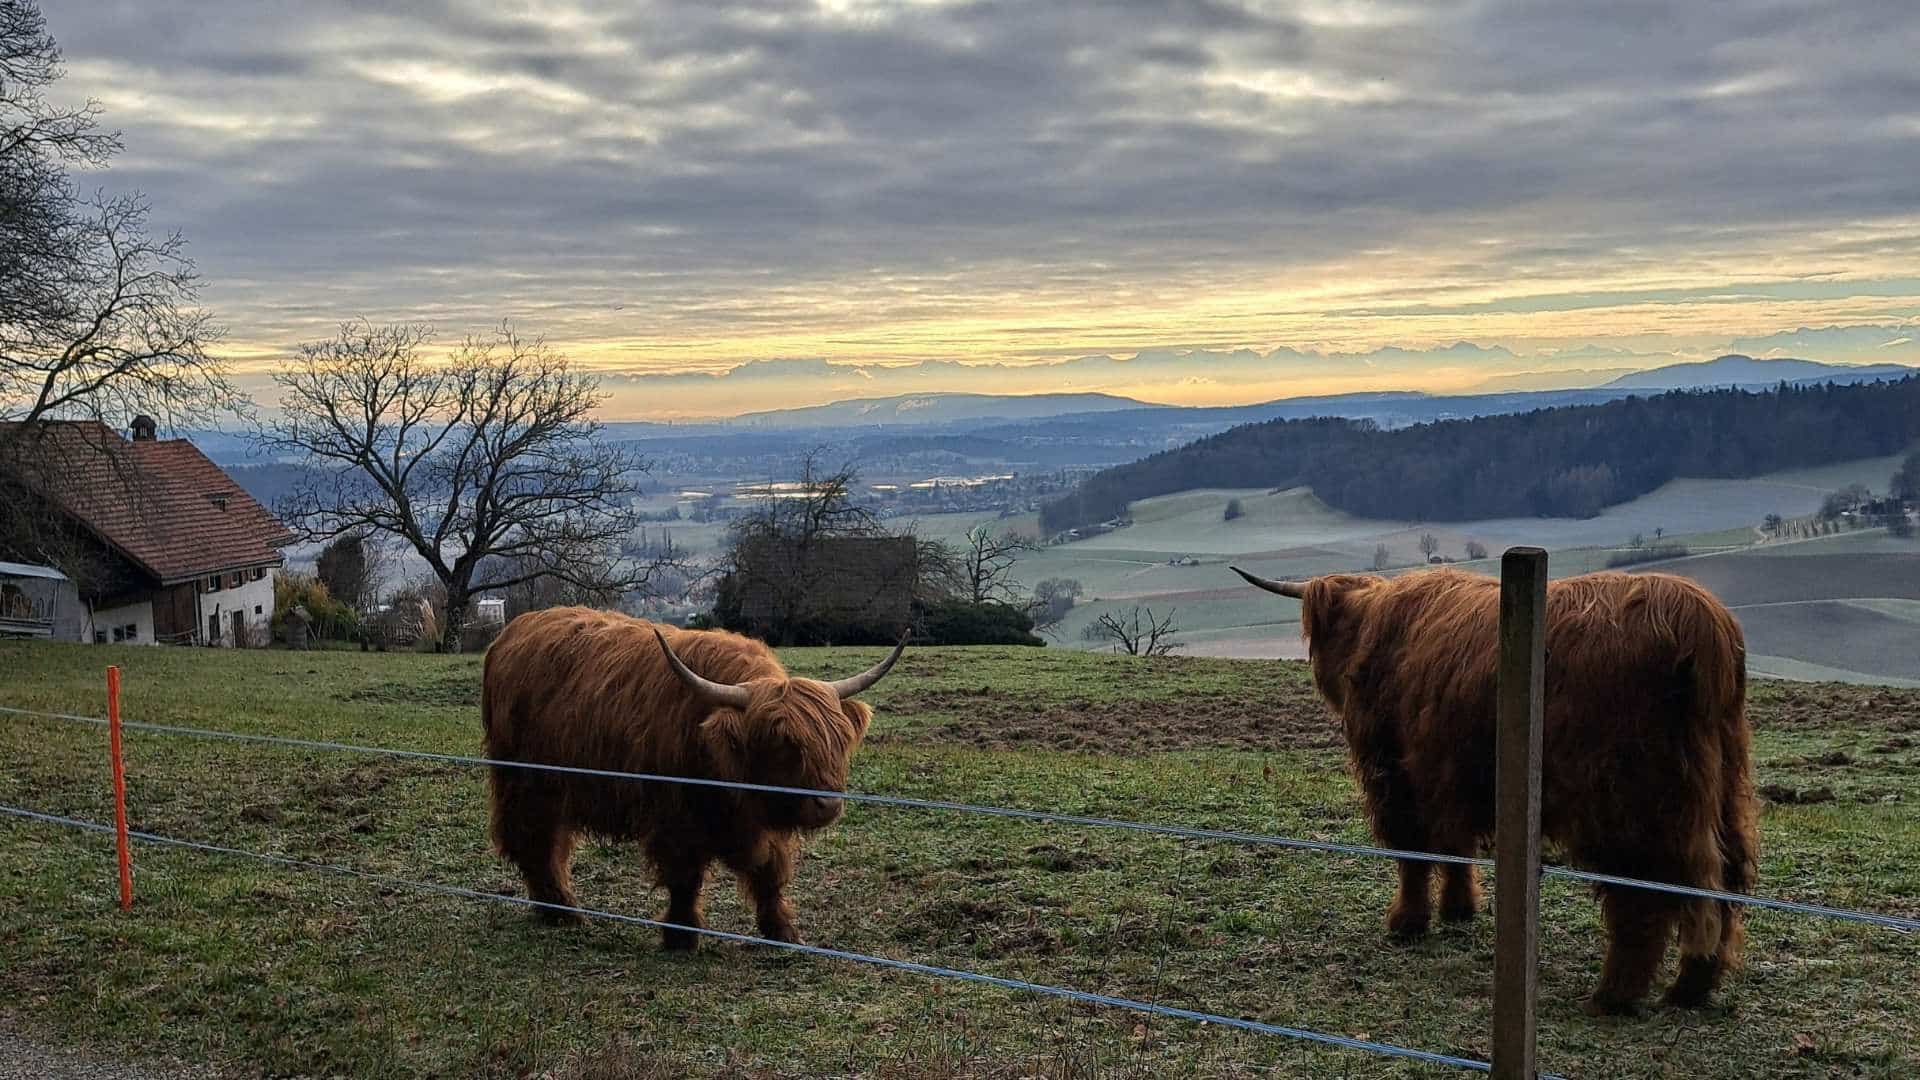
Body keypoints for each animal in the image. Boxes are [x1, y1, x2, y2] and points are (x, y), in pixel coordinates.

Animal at [476, 611, 902, 945]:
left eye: (838, 739)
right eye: (782, 741)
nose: (826, 804)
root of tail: (514, 630)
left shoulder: (760, 824)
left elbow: (769, 873)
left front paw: (782, 931)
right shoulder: (675, 819)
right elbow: (685, 876)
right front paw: (681, 935)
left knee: (550, 845)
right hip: (526, 784)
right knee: (533, 842)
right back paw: (561, 910)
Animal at [1228, 557, 1758, 1014]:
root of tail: (1701, 624)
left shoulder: (1395, 776)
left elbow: (1412, 853)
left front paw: (1407, 922)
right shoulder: (1452, 776)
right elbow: (1456, 848)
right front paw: (1458, 909)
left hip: (1628, 800)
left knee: (1644, 893)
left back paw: (1614, 995)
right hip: (1724, 785)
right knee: (1725, 877)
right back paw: (1693, 985)